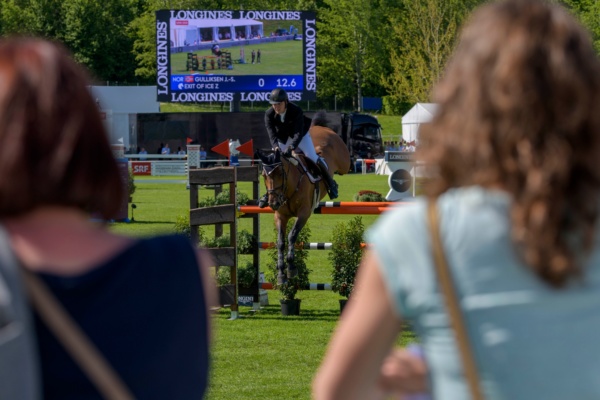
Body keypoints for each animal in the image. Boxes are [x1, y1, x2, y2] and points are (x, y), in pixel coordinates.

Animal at [254, 112, 350, 284]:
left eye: (280, 173)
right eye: (264, 175)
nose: (273, 202)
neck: (289, 188)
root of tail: (321, 127)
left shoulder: (304, 213)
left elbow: (292, 235)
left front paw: (291, 268)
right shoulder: (280, 215)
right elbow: (280, 241)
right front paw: (281, 273)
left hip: (344, 163)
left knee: (324, 160)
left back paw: (333, 185)